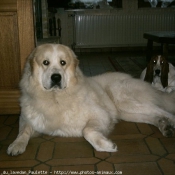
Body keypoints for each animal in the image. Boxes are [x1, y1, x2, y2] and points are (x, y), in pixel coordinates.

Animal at [7, 43, 175, 156]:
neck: (55, 98)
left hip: (126, 101)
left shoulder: (100, 115)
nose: (56, 77)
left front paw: (107, 145)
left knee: (164, 112)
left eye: (63, 63)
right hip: (128, 113)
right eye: (45, 63)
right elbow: (23, 131)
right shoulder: (27, 118)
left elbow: (87, 131)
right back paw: (165, 126)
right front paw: (16, 145)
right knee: (155, 116)